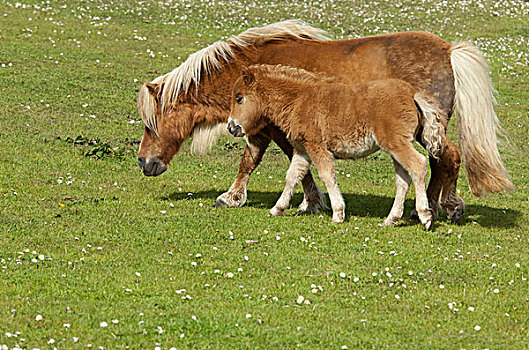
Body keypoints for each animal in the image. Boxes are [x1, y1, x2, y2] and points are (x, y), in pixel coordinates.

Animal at [225, 65, 448, 230]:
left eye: (239, 98)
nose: (231, 127)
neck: (299, 99)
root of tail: (412, 93)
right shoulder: (302, 150)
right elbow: (292, 177)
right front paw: (277, 209)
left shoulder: (316, 146)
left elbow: (327, 175)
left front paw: (338, 213)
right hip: (395, 147)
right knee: (403, 179)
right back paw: (390, 219)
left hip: (397, 143)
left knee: (418, 165)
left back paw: (425, 217)